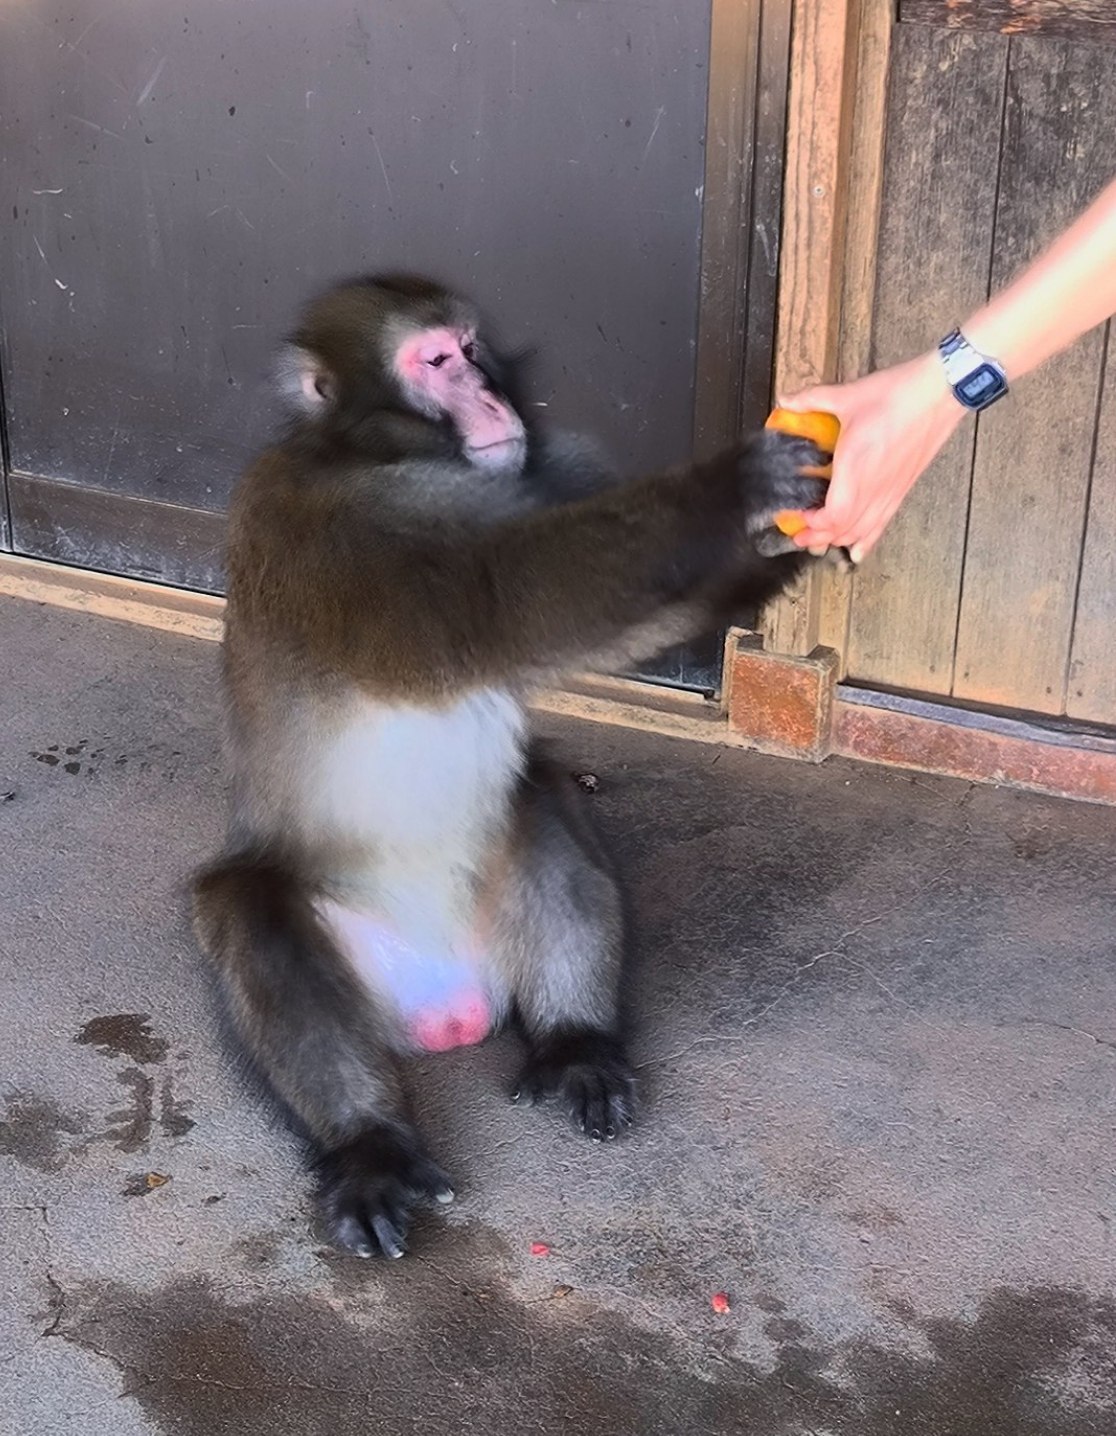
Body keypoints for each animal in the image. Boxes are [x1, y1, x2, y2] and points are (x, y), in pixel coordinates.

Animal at [192, 273, 827, 1260]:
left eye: (472, 349)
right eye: (436, 362)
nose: (491, 395)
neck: (363, 454)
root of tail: (446, 1010)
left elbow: (642, 622)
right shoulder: (324, 525)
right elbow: (497, 594)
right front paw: (736, 487)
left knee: (539, 801)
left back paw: (574, 1042)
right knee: (246, 904)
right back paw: (369, 1143)